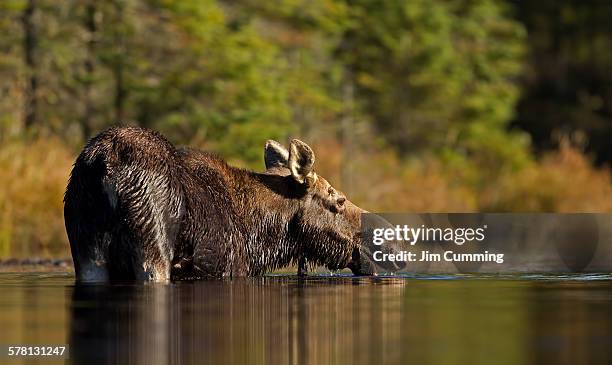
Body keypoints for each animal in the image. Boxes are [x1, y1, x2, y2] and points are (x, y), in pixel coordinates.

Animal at [64, 126, 380, 282]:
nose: (388, 240)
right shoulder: (229, 268)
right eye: (339, 200)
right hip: (152, 246)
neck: (262, 239)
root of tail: (105, 162)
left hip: (87, 251)